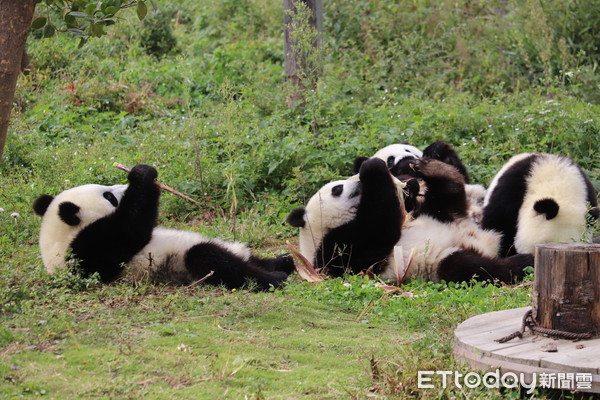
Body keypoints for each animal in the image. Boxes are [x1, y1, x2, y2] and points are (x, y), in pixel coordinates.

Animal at [33, 164, 292, 290]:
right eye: (109, 196)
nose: (120, 187)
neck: (60, 239)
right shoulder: (89, 250)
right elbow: (131, 229)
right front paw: (142, 174)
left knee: (247, 258)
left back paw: (283, 261)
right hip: (185, 265)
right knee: (212, 259)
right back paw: (274, 277)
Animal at [288, 155, 532, 282]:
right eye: (337, 188)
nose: (356, 184)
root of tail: (480, 238)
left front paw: (407, 186)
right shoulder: (339, 250)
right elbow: (379, 229)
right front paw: (372, 167)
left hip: (437, 214)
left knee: (445, 195)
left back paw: (431, 168)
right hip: (440, 259)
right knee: (471, 267)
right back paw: (524, 262)